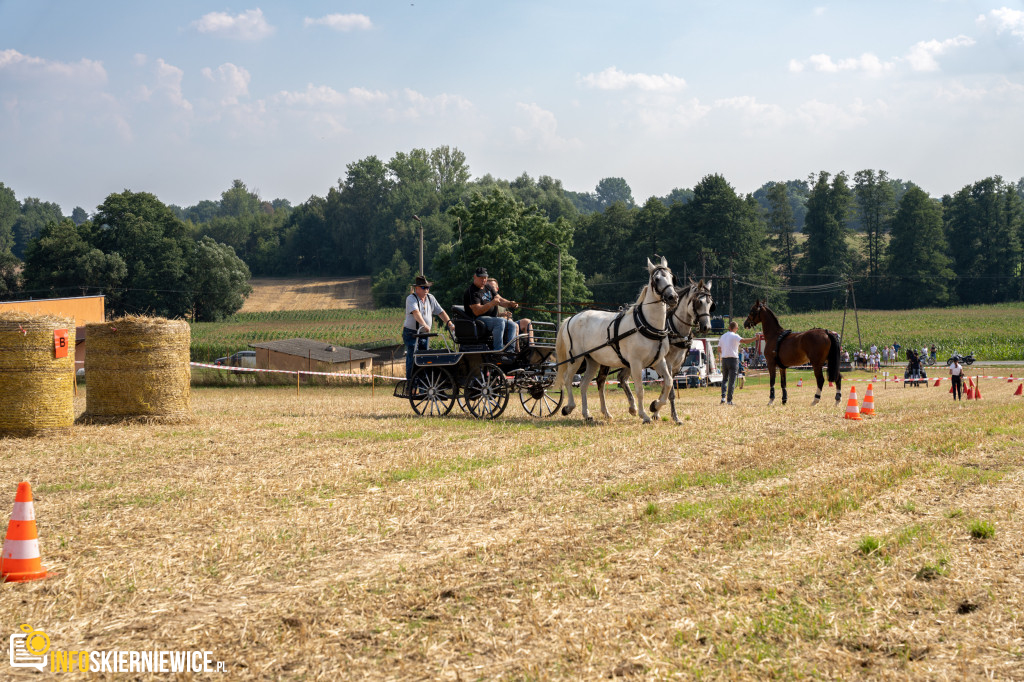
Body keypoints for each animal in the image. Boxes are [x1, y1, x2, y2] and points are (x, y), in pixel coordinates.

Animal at [557, 258, 675, 421]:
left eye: (671, 277)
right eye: (657, 279)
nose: (673, 297)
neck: (646, 324)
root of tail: (571, 318)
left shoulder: (658, 361)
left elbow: (669, 382)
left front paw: (655, 405)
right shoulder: (635, 363)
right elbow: (640, 389)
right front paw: (644, 415)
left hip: (592, 361)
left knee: (584, 384)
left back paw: (586, 414)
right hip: (576, 358)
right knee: (568, 379)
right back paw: (569, 407)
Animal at [602, 278, 716, 421]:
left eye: (710, 303)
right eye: (699, 302)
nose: (706, 327)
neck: (675, 330)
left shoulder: (675, 367)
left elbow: (668, 386)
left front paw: (656, 409)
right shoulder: (666, 363)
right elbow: (670, 391)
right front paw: (672, 415)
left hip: (629, 361)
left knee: (622, 378)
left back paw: (633, 408)